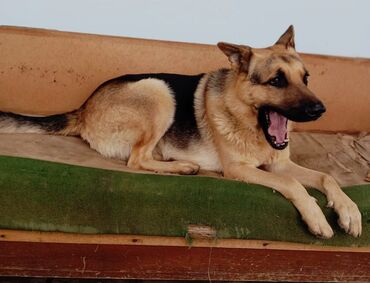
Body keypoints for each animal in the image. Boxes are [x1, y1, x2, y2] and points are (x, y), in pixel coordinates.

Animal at [0, 26, 360, 240]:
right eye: (277, 81)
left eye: (306, 78)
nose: (320, 110)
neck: (250, 124)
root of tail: (84, 108)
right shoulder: (240, 170)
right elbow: (293, 185)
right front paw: (317, 217)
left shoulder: (280, 163)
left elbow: (326, 176)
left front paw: (349, 212)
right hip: (159, 91)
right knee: (136, 160)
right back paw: (183, 166)